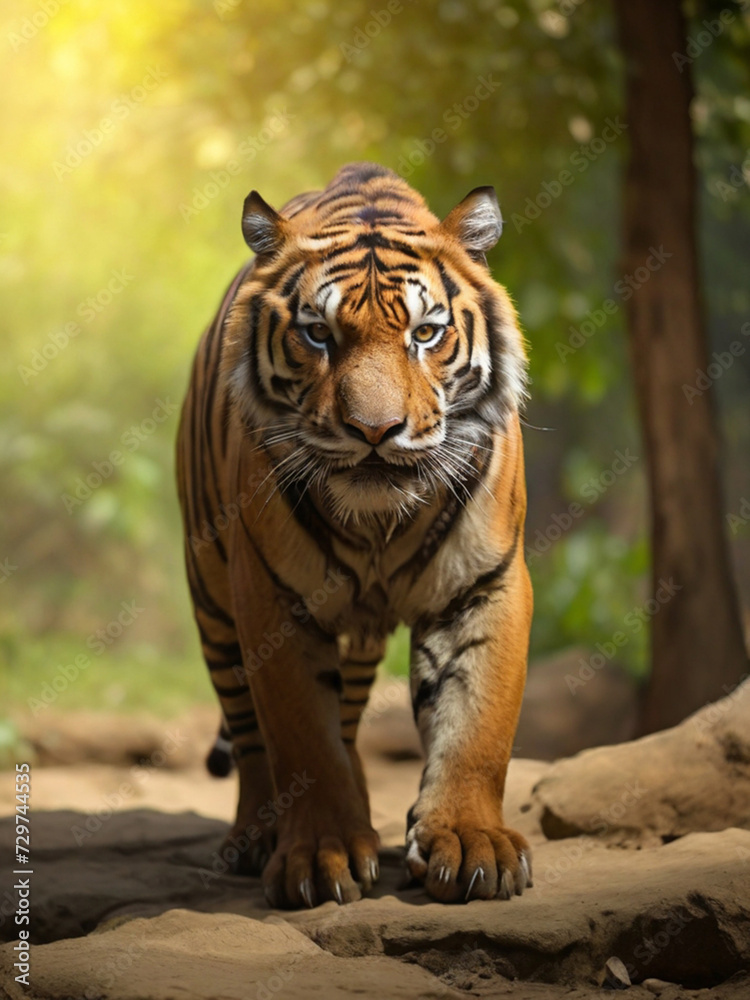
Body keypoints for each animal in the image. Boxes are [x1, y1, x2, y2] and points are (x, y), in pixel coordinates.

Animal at [176, 162, 533, 909]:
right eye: (318, 335)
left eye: (425, 334)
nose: (375, 430)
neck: (378, 523)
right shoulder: (273, 598)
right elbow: (301, 736)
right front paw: (321, 856)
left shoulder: (485, 583)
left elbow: (477, 724)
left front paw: (470, 841)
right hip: (214, 600)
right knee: (250, 737)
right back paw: (256, 836)